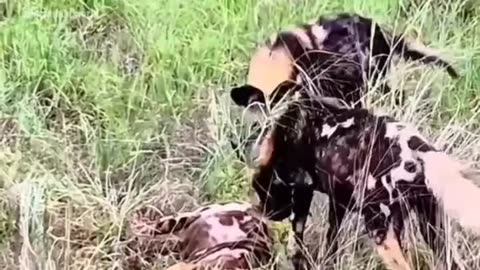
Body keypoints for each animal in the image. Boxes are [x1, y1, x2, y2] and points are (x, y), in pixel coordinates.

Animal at [244, 85, 480, 270]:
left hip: (380, 230)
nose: (266, 214)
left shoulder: (302, 192)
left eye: (266, 195)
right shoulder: (338, 202)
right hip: (432, 228)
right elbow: (331, 241)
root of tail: (419, 149)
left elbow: (297, 243)